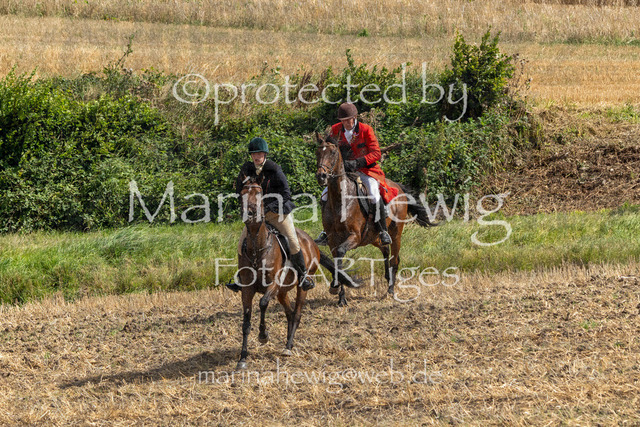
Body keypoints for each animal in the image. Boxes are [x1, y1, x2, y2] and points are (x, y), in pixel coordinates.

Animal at [235, 175, 358, 370]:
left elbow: (263, 303)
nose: (251, 214)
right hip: (282, 292)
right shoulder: (247, 290)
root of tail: (312, 243)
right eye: (242, 194)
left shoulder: (273, 284)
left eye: (260, 194)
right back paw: (287, 343)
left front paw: (263, 335)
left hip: (302, 285)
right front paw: (242, 359)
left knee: (297, 313)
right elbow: (246, 323)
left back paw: (288, 346)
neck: (257, 249)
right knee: (290, 314)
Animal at [315, 132, 437, 306]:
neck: (341, 200)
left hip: (395, 234)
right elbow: (337, 260)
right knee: (385, 250)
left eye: (332, 153)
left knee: (394, 259)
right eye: (317, 153)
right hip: (373, 237)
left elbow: (341, 252)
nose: (321, 176)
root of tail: (398, 187)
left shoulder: (355, 237)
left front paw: (337, 286)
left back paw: (390, 290)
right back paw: (387, 279)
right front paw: (340, 295)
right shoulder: (332, 239)